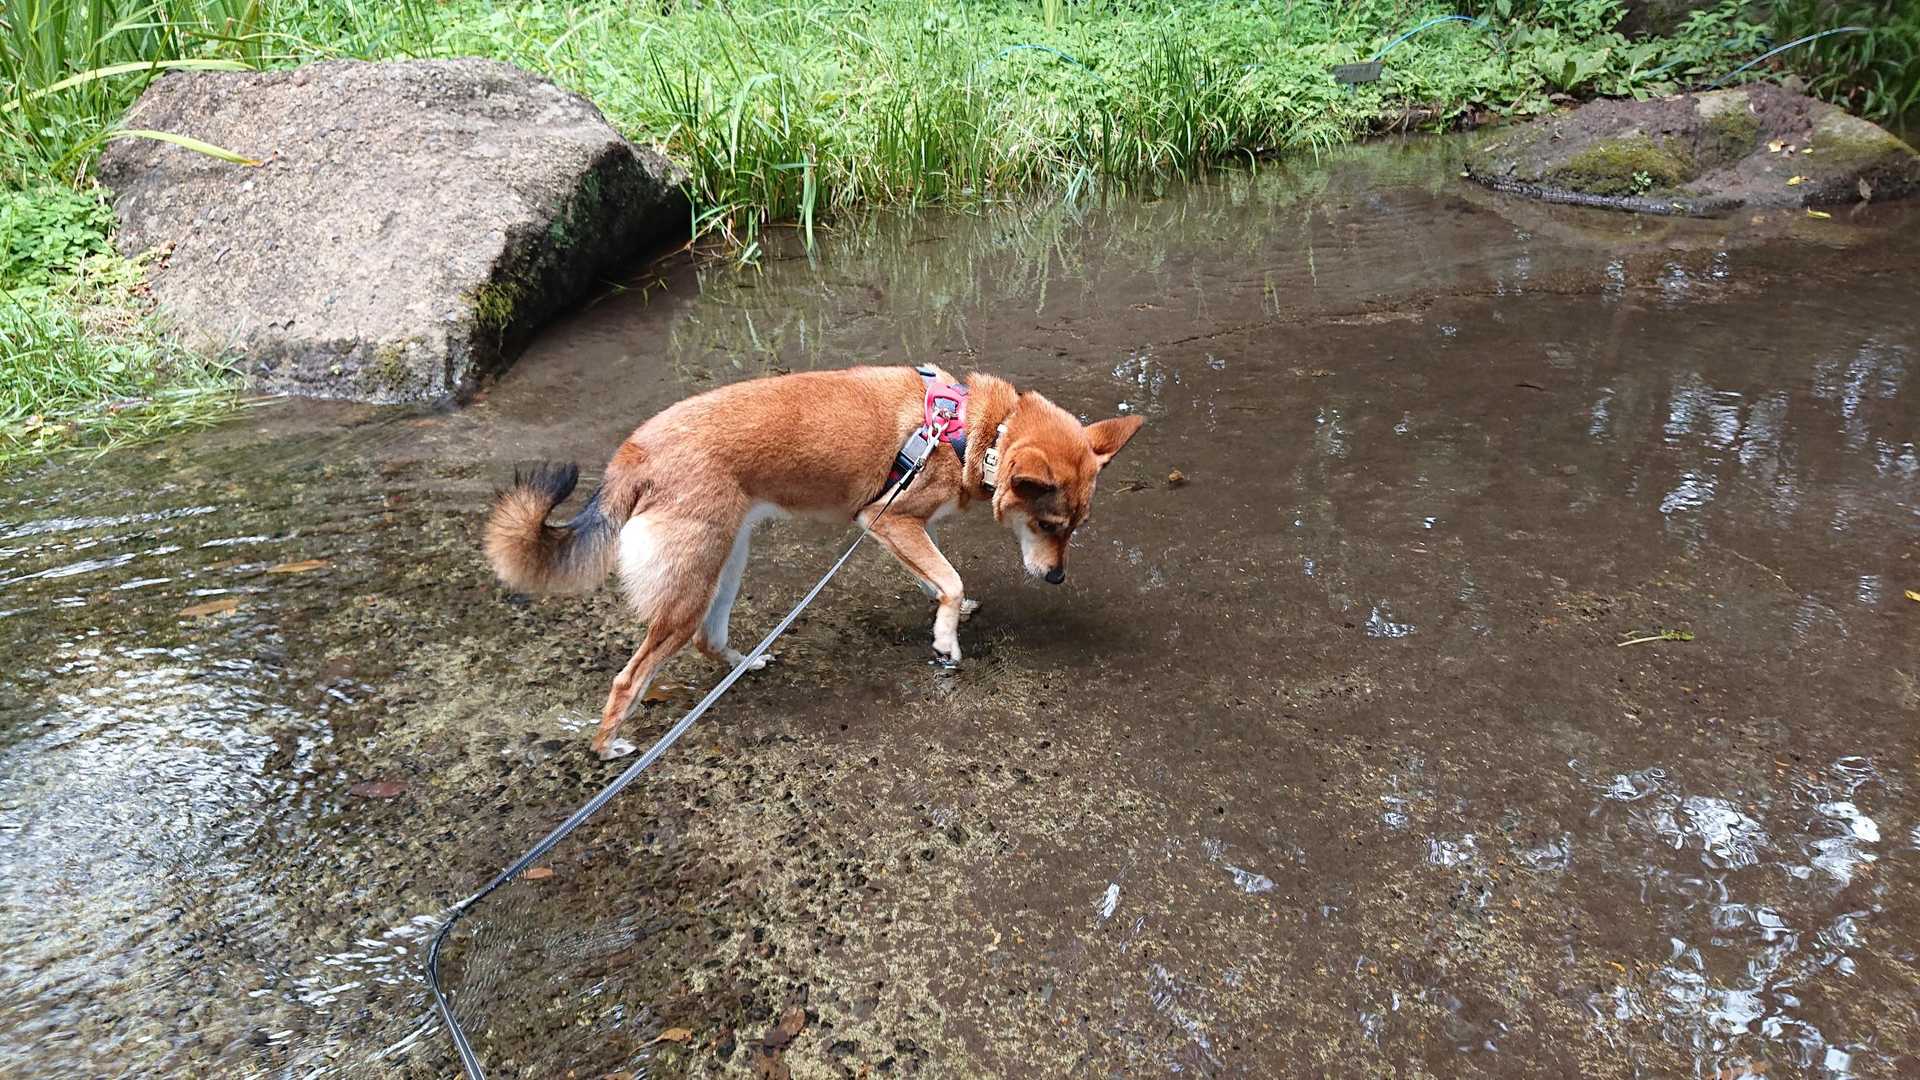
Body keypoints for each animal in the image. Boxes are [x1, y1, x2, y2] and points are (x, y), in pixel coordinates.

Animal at [484, 364, 1143, 759]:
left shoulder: (901, 530)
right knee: (631, 676)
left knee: (706, 639)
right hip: (692, 582)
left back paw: (742, 662)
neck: (971, 431)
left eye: (1075, 530)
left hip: (727, 561)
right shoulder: (887, 520)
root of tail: (633, 453)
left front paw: (946, 618)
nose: (1056, 575)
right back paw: (608, 746)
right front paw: (946, 641)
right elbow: (950, 579)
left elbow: (938, 581)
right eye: (1048, 526)